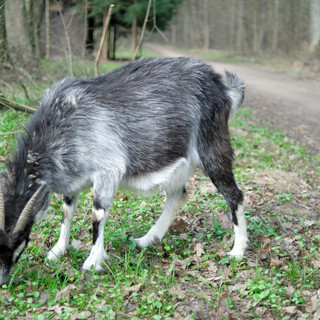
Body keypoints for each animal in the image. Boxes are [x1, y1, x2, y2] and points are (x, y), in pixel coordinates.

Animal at [0, 57, 248, 284]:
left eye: (19, 237)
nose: (2, 281)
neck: (63, 123)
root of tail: (223, 89)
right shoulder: (72, 179)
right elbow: (66, 211)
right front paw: (57, 251)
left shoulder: (107, 171)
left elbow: (97, 214)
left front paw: (93, 262)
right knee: (178, 194)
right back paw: (146, 240)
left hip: (212, 147)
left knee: (234, 194)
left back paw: (238, 250)